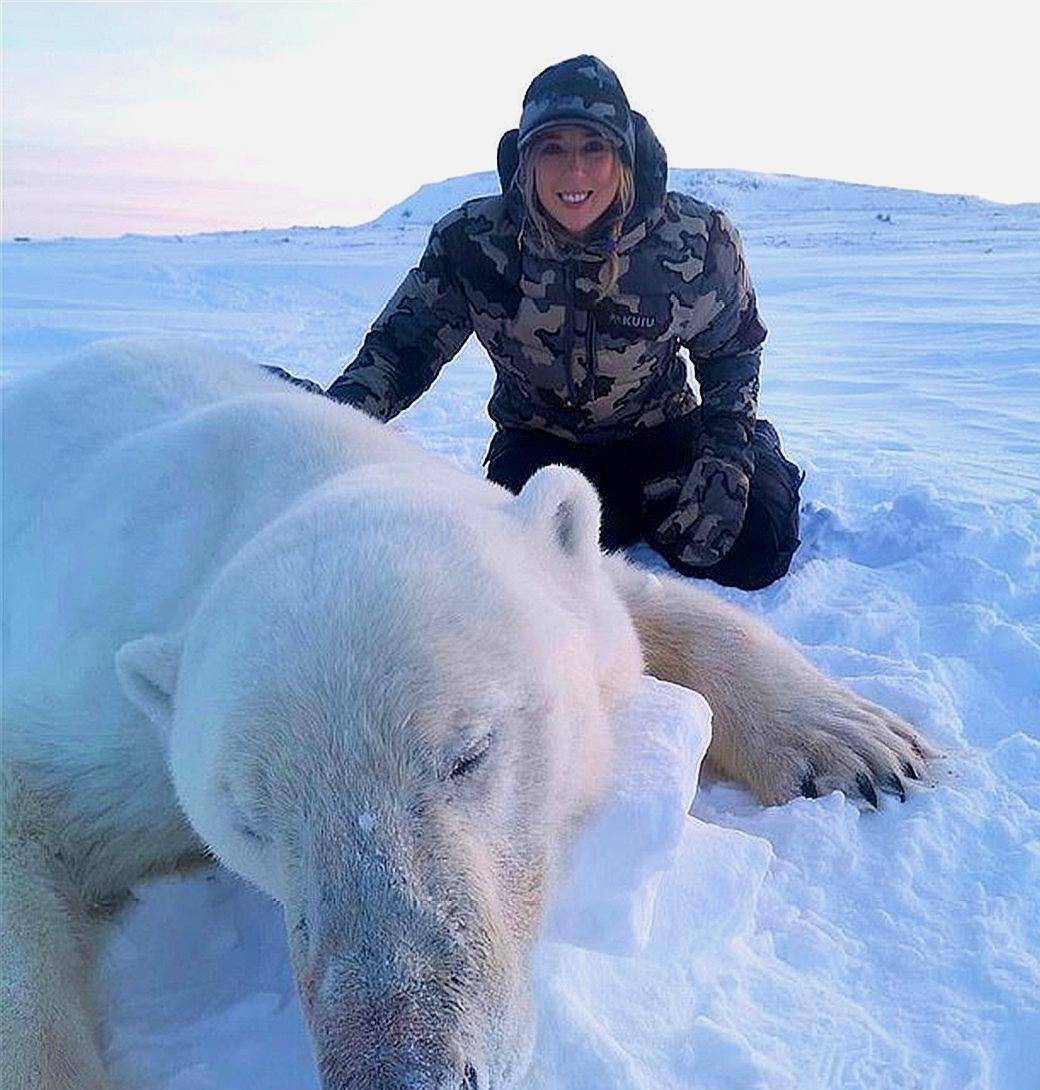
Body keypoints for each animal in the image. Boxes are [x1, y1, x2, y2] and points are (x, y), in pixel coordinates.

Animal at [0, 340, 924, 1090]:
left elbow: (637, 604)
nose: (402, 1072)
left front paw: (861, 745)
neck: (289, 472)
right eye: (253, 822)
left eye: (469, 753)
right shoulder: (103, 724)